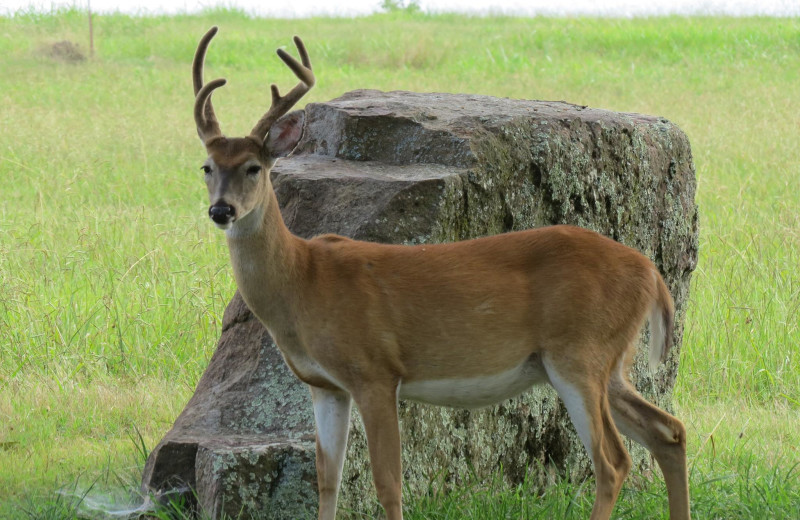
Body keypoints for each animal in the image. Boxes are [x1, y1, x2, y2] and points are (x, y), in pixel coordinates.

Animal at [191, 27, 692, 520]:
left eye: (254, 167)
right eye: (206, 167)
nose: (221, 210)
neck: (304, 281)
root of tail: (651, 271)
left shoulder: (375, 370)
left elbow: (388, 484)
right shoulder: (325, 386)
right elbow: (326, 481)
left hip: (579, 353)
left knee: (614, 461)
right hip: (608, 361)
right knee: (669, 430)